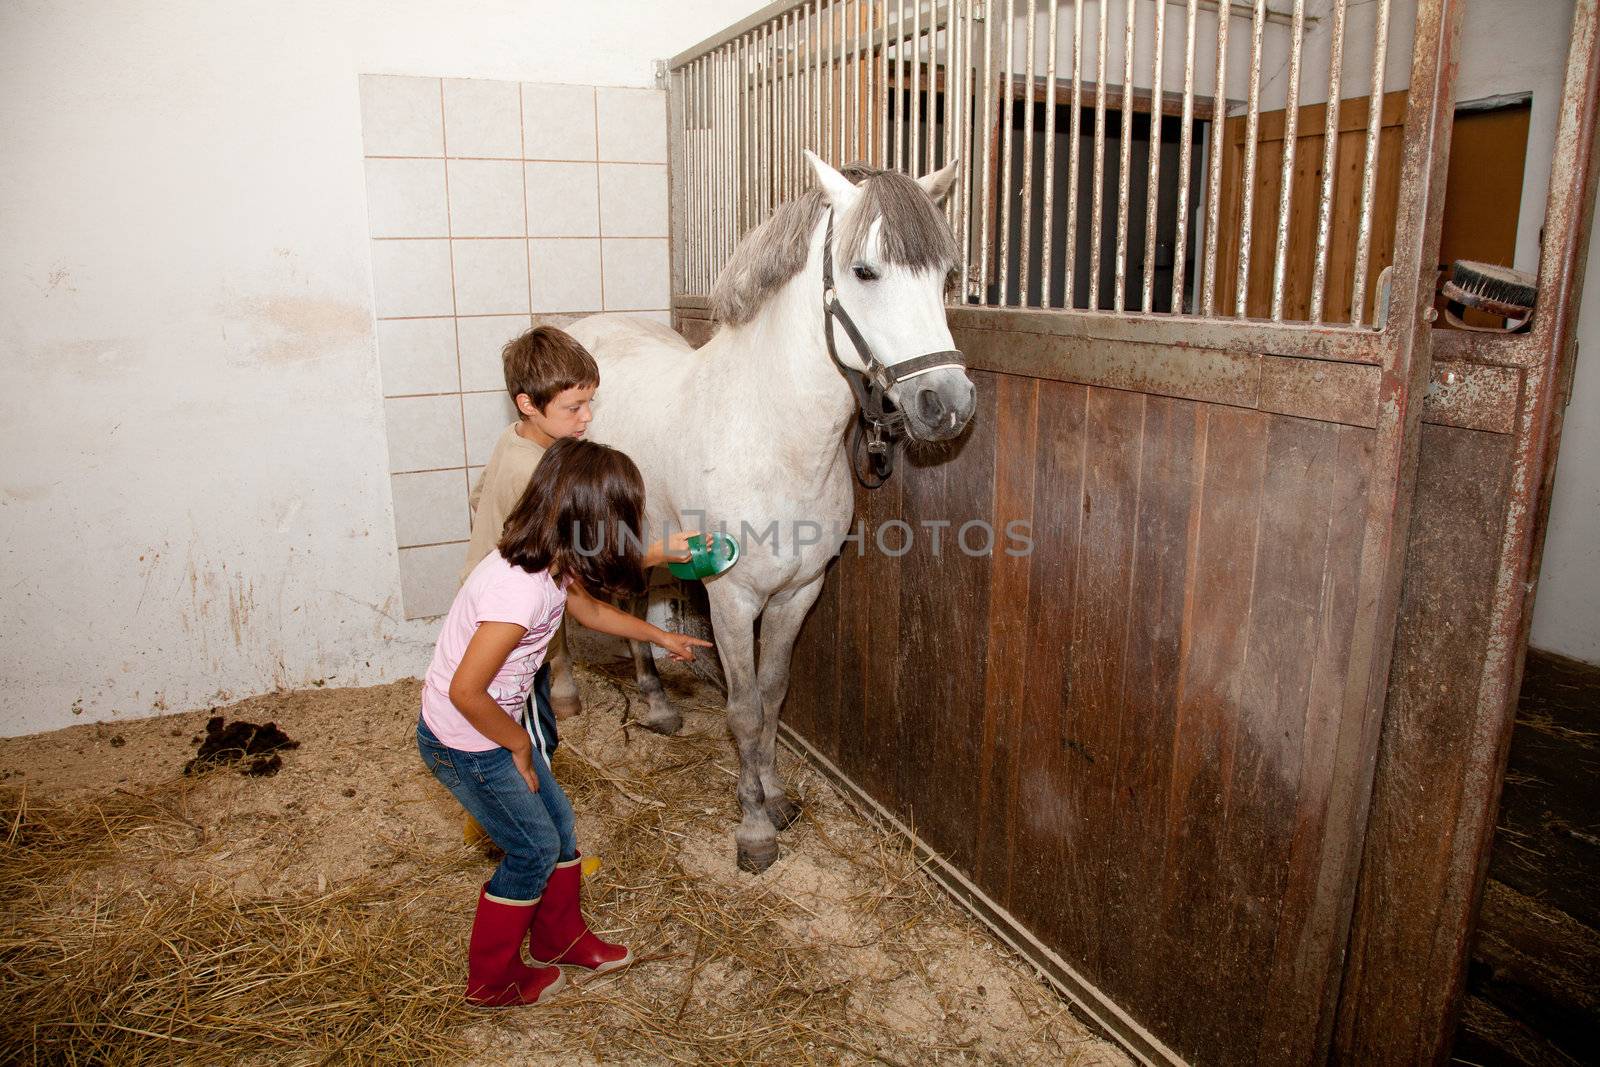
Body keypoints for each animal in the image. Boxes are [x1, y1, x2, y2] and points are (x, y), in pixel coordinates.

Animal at [569, 147, 966, 870]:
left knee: (632, 602)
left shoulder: (799, 591)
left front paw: (777, 796)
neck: (772, 436)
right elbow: (744, 708)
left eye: (944, 275)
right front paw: (753, 826)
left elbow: (775, 694)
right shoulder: (732, 598)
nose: (949, 403)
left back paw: (657, 706)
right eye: (865, 270)